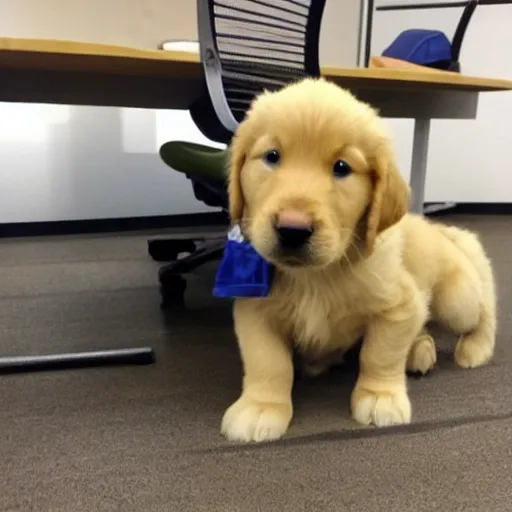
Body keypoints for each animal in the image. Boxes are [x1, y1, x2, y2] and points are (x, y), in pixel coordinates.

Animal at [221, 78, 496, 442]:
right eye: (272, 157)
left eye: (342, 168)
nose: (292, 229)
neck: (317, 276)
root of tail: (439, 229)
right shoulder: (256, 311)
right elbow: (267, 361)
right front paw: (261, 406)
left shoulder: (399, 304)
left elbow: (379, 354)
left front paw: (380, 396)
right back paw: (419, 349)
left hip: (456, 299)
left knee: (482, 306)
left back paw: (475, 347)